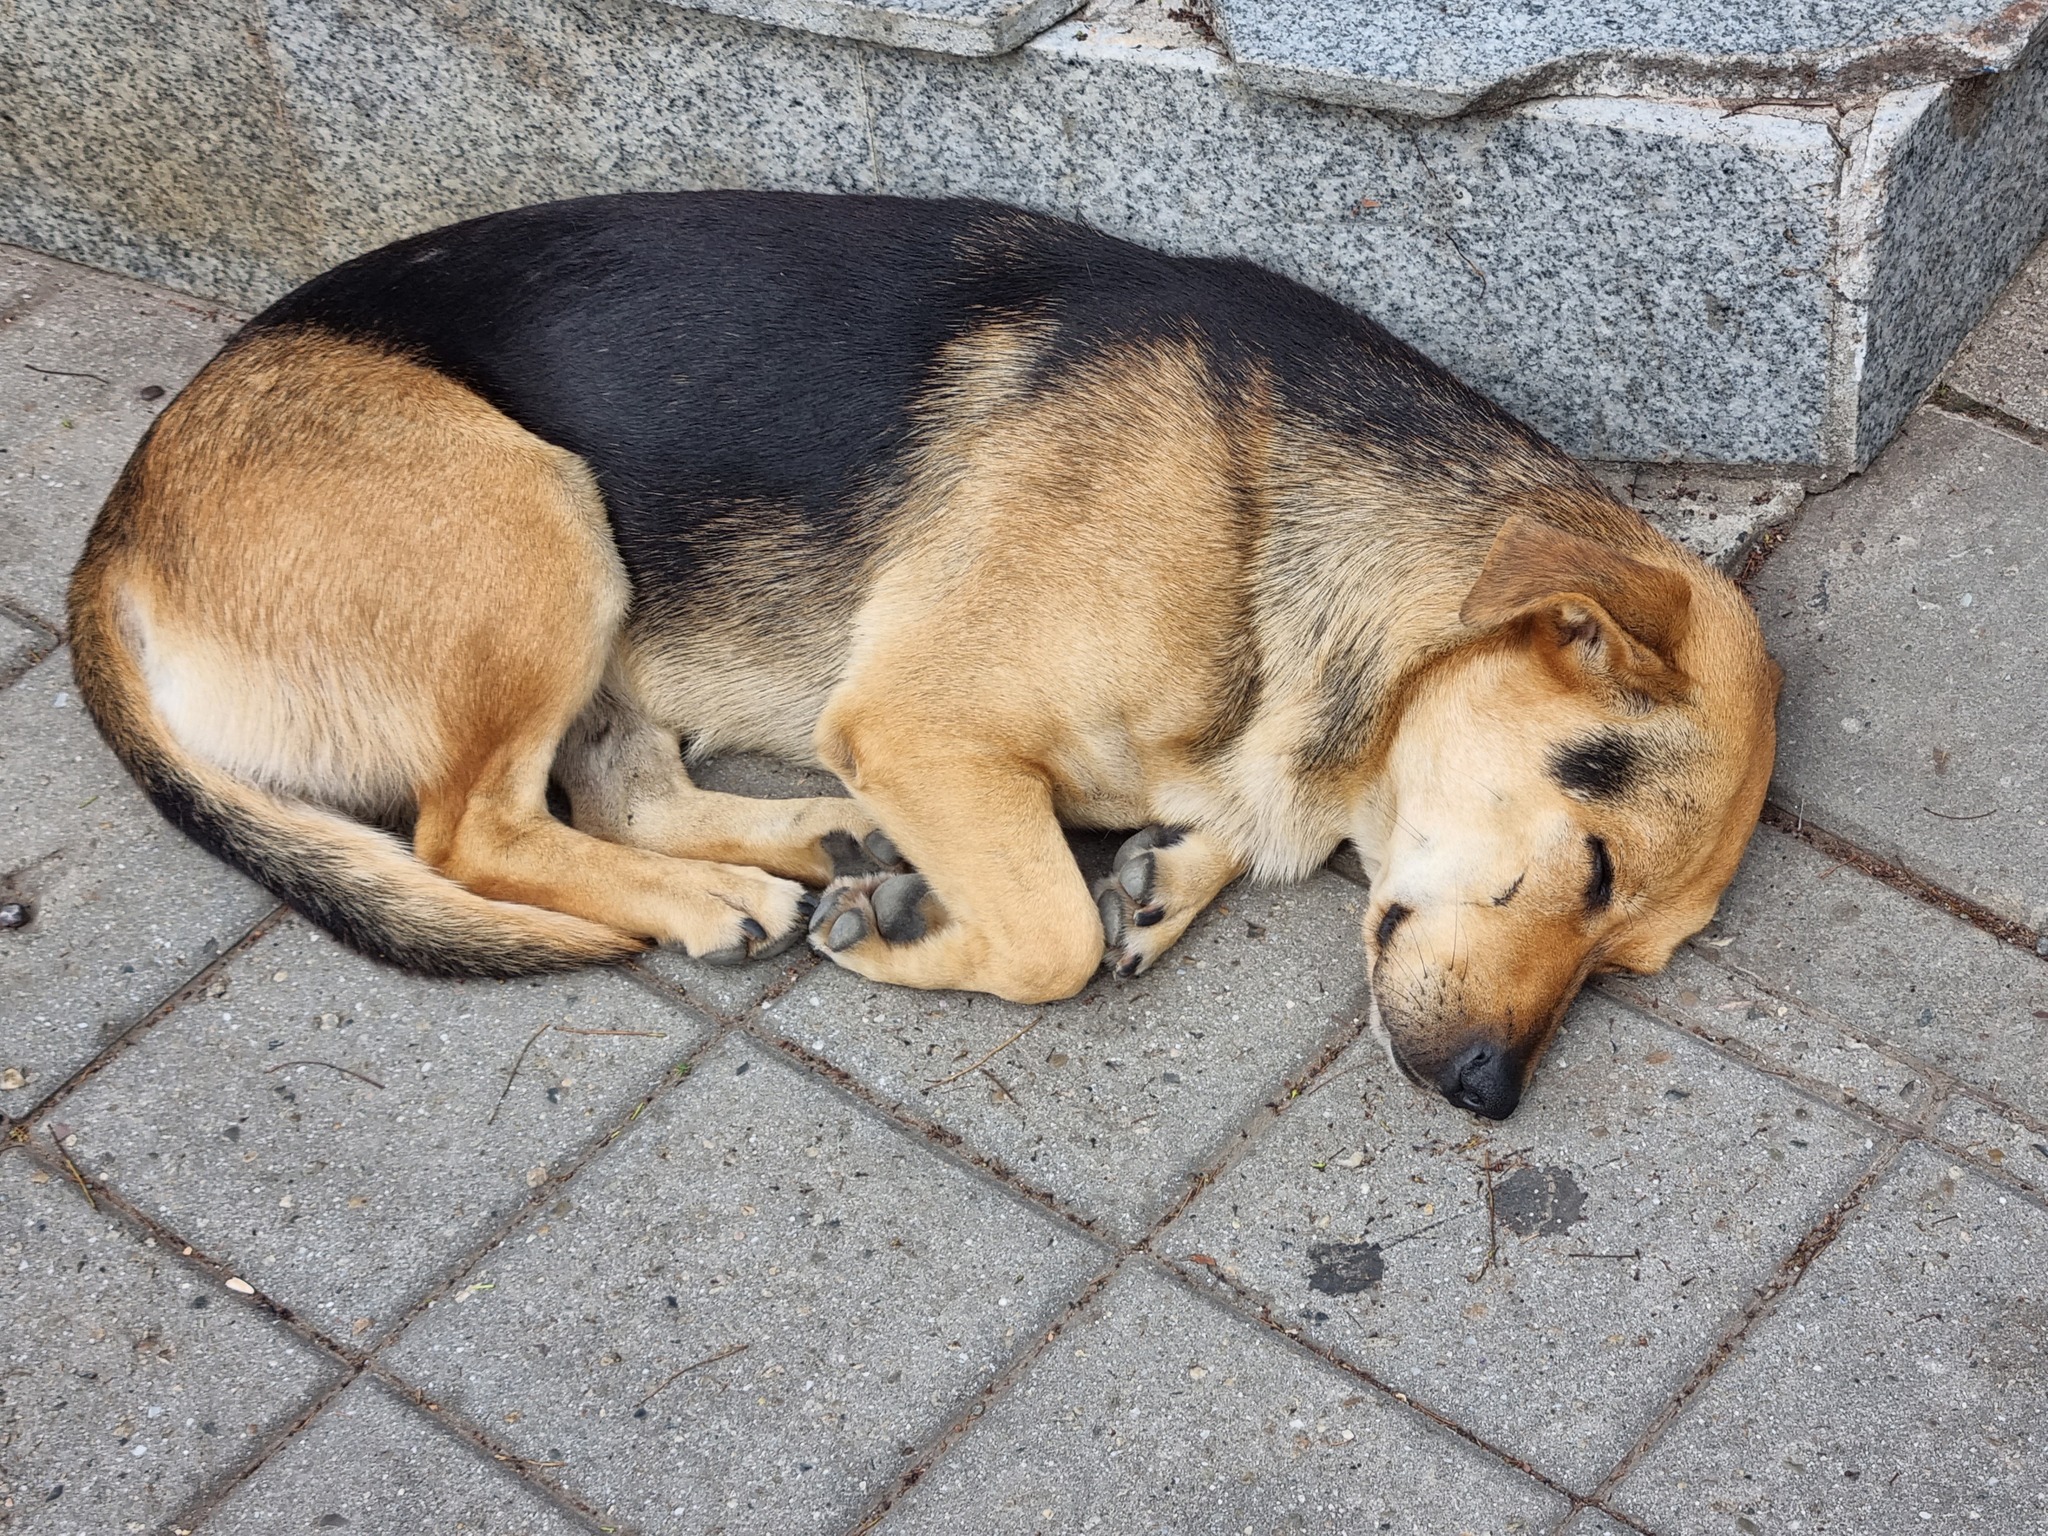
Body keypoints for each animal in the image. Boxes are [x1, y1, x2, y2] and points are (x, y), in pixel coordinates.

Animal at [68, 198, 1777, 1122]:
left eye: (1630, 962)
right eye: (1595, 869)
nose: (1492, 1100)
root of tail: (118, 530)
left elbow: (1185, 837)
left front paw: (1168, 869)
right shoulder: (922, 723)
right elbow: (1051, 943)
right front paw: (919, 941)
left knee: (612, 793)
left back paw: (811, 844)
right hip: (541, 525)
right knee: (468, 828)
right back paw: (732, 898)